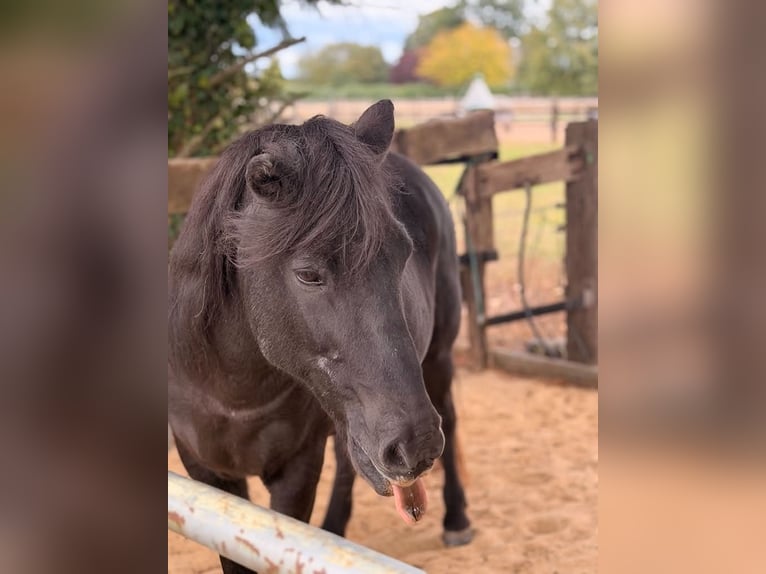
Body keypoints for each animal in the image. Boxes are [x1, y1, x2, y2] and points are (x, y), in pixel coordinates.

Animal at [168, 100, 473, 573]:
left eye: (403, 254)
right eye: (308, 274)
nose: (417, 446)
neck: (230, 396)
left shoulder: (295, 474)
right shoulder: (205, 477)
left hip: (437, 360)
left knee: (452, 419)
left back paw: (456, 519)